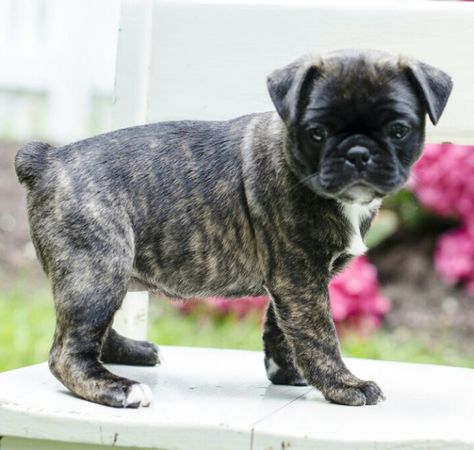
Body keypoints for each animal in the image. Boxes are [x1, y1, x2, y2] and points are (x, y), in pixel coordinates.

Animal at [14, 50, 452, 408]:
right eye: (317, 132)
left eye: (398, 129)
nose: (358, 153)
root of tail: (49, 159)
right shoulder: (299, 277)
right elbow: (319, 335)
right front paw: (344, 385)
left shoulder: (290, 282)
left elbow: (282, 328)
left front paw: (288, 372)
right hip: (98, 270)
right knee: (69, 350)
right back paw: (117, 388)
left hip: (108, 275)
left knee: (95, 332)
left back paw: (133, 353)